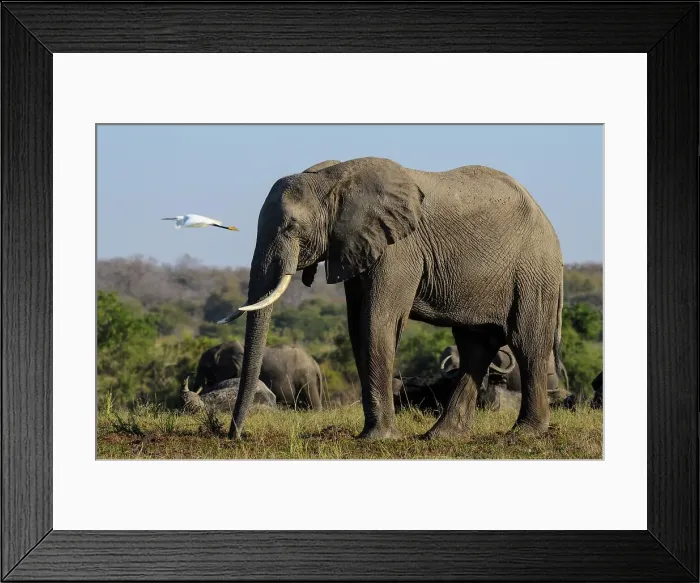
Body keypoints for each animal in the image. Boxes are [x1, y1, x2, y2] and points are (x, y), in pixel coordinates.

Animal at [220, 157, 566, 440]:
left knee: (526, 343)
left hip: (534, 270)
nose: (235, 436)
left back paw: (524, 434)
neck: (332, 178)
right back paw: (441, 436)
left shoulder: (399, 249)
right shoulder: (355, 246)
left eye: (291, 226)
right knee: (475, 347)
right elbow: (357, 327)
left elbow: (377, 321)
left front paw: (379, 439)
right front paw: (372, 435)